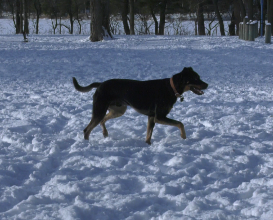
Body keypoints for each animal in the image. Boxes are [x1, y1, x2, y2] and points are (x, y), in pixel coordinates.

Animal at [71, 67, 207, 144]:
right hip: (100, 110)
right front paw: (184, 137)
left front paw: (148, 146)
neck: (171, 88)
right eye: (195, 78)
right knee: (87, 129)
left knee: (102, 121)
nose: (207, 85)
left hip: (118, 110)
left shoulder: (151, 117)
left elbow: (148, 135)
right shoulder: (159, 117)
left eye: (199, 77)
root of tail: (100, 84)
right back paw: (87, 145)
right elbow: (180, 124)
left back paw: (105, 134)